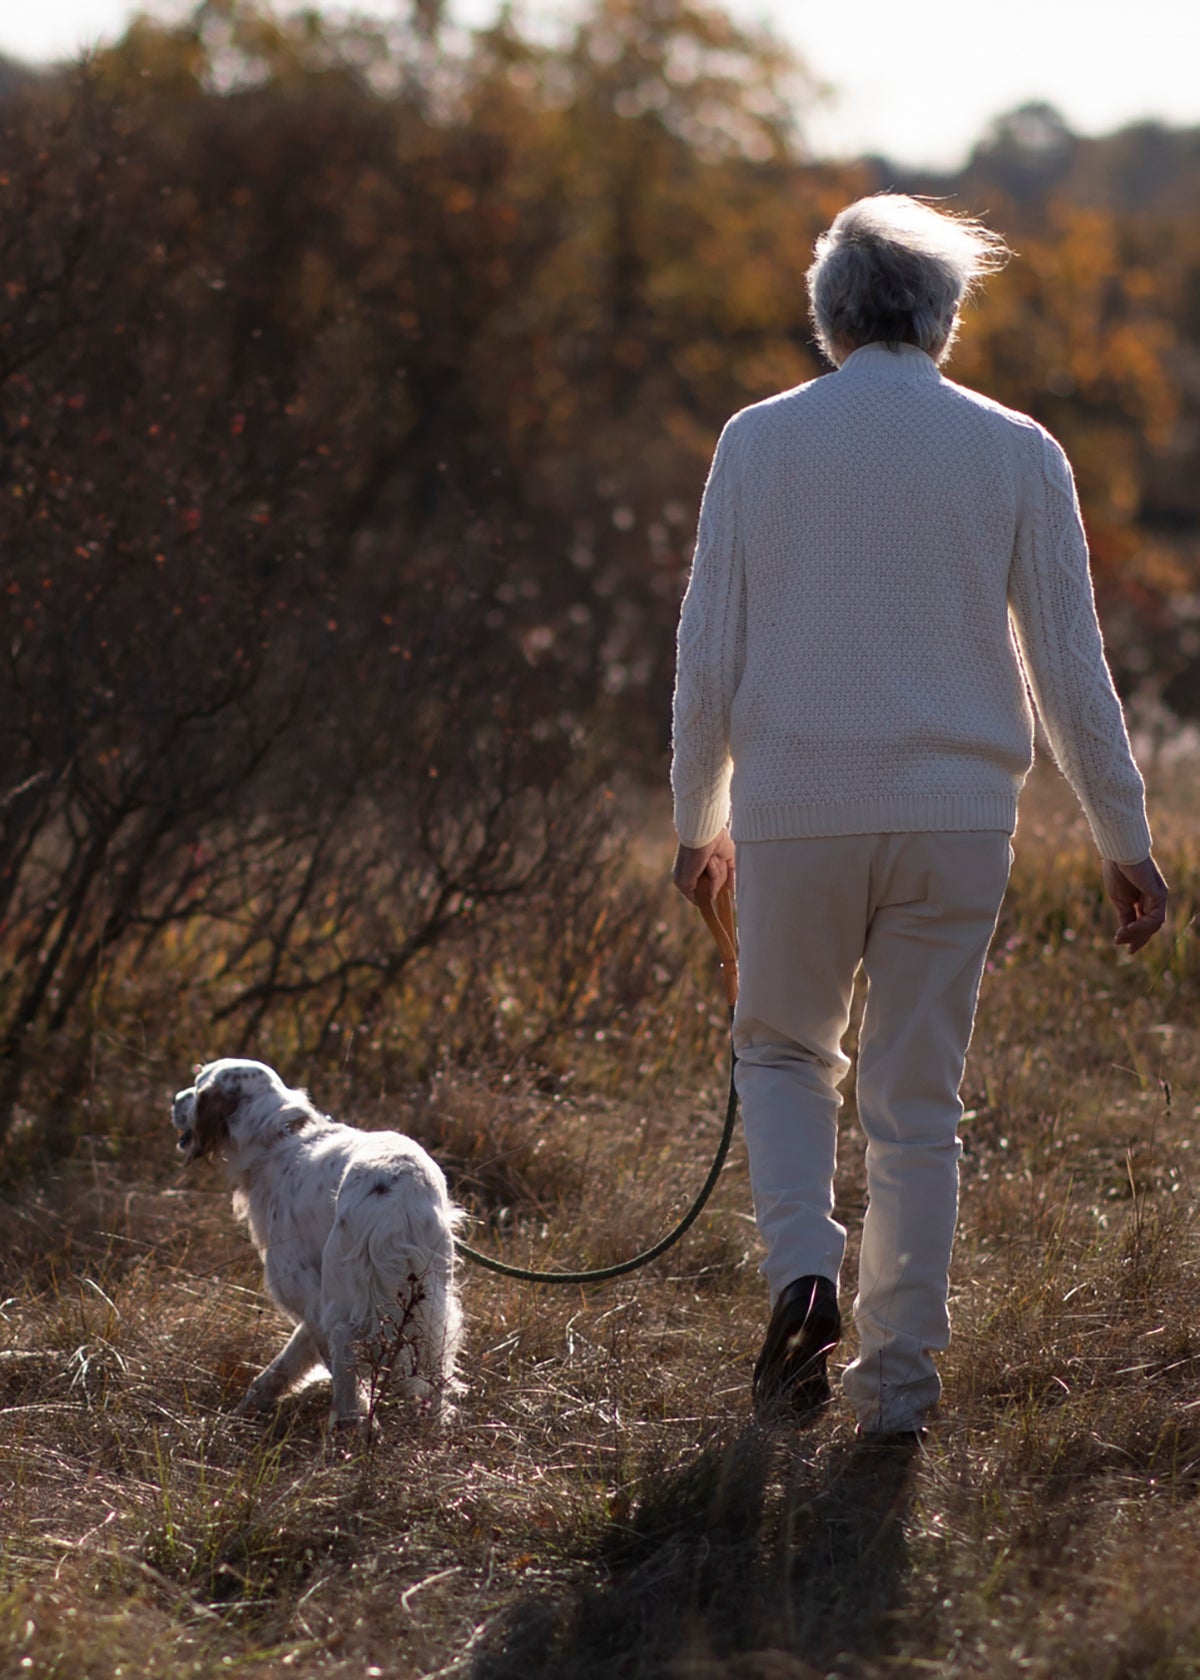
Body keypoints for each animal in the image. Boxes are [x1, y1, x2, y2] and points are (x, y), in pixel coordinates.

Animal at [170, 1055, 460, 1424]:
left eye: (198, 1085)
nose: (175, 1098)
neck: (275, 1138)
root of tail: (397, 1194)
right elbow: (284, 1365)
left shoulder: (304, 1292)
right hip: (435, 1298)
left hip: (344, 1297)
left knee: (347, 1367)